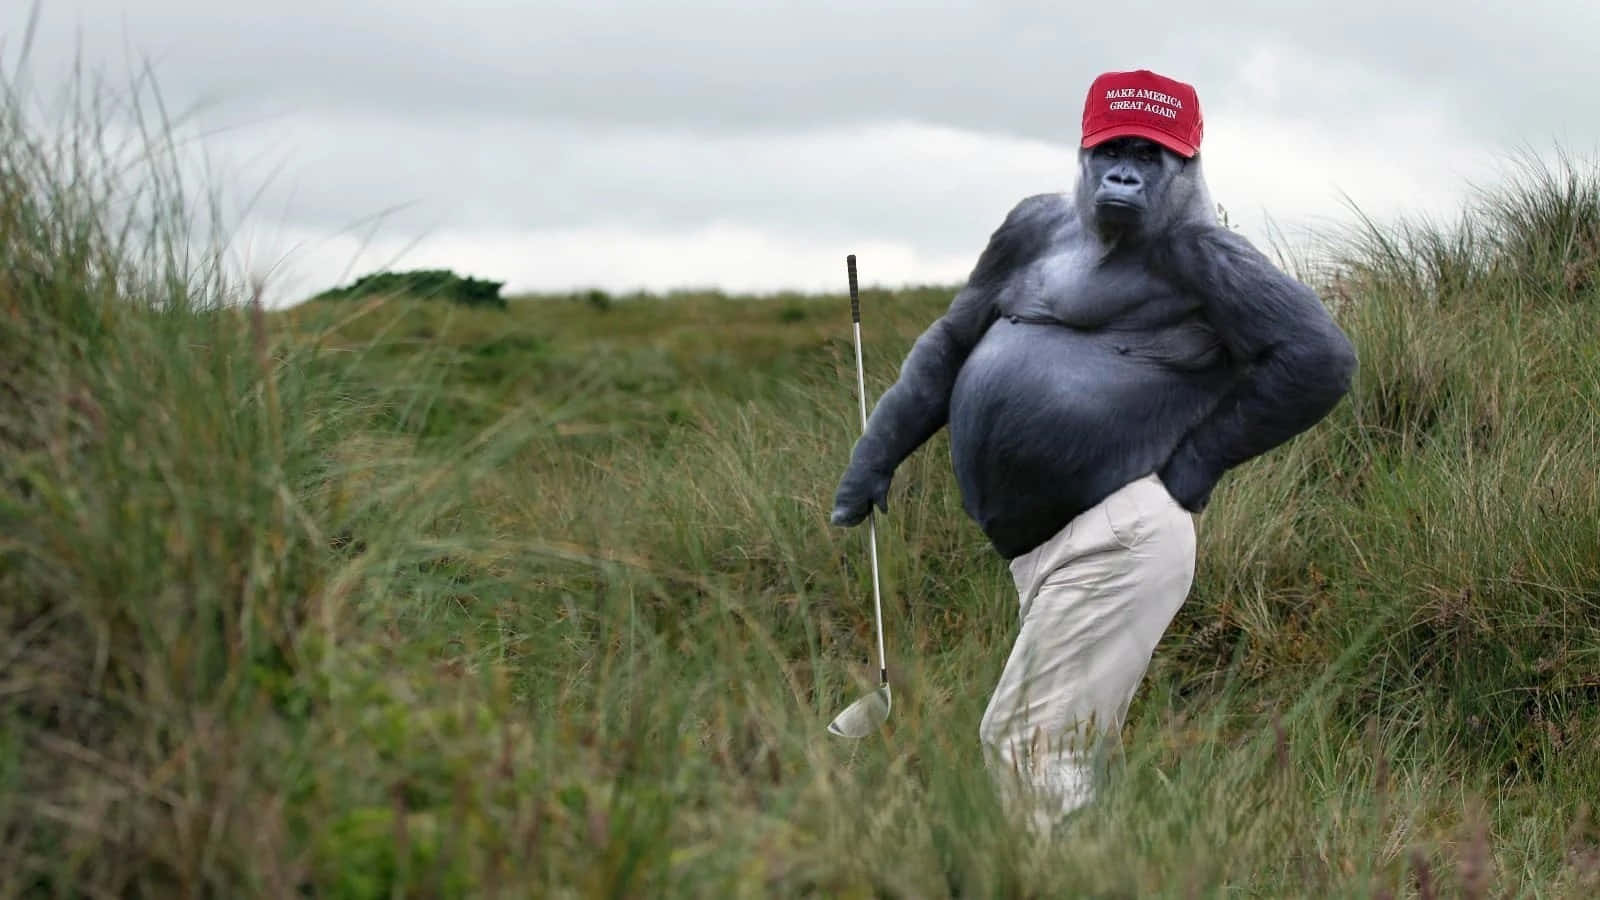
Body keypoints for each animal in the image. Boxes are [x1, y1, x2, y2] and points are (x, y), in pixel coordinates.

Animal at [827, 70, 1357, 834]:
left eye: (1149, 154)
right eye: (1113, 147)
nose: (1123, 177)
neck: (1104, 241)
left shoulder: (1208, 251)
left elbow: (1318, 350)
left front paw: (1188, 473)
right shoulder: (1019, 227)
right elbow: (955, 336)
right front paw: (866, 471)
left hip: (1106, 580)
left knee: (1036, 735)